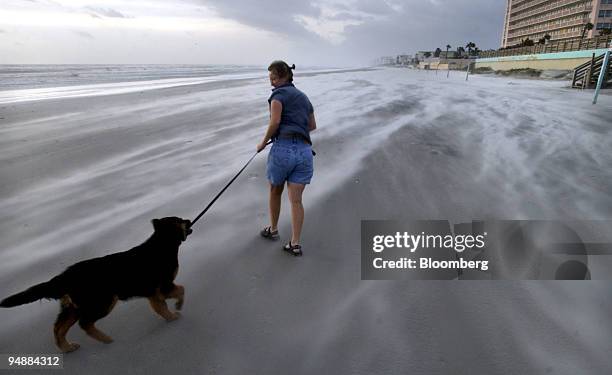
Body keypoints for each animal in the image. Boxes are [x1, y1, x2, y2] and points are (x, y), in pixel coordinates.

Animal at [0, 217, 191, 352]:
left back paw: (67, 348)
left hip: (73, 307)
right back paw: (105, 339)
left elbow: (161, 307)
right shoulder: (164, 285)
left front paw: (170, 317)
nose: (189, 220)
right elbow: (181, 290)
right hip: (103, 302)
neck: (162, 243)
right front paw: (178, 307)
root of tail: (64, 276)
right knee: (84, 323)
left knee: (58, 328)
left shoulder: (153, 292)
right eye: (180, 220)